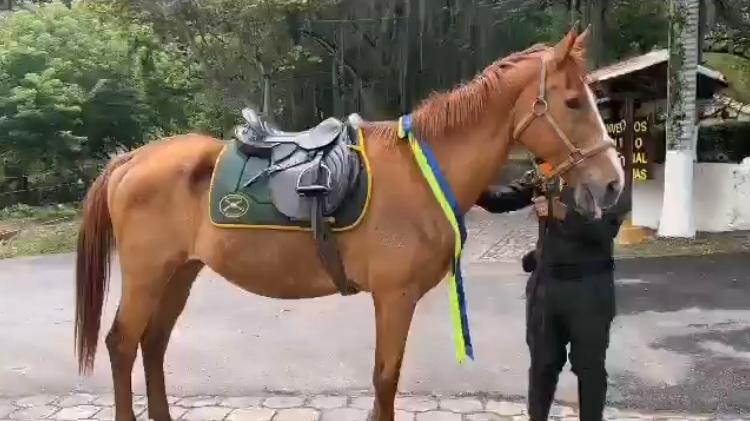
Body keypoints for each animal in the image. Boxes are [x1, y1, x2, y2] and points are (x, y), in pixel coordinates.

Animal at [74, 28, 624, 421]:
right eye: (573, 101)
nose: (613, 183)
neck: (421, 173)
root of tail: (130, 159)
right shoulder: (394, 297)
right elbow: (385, 380)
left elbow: (385, 381)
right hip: (148, 275)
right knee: (122, 344)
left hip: (179, 273)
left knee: (153, 344)